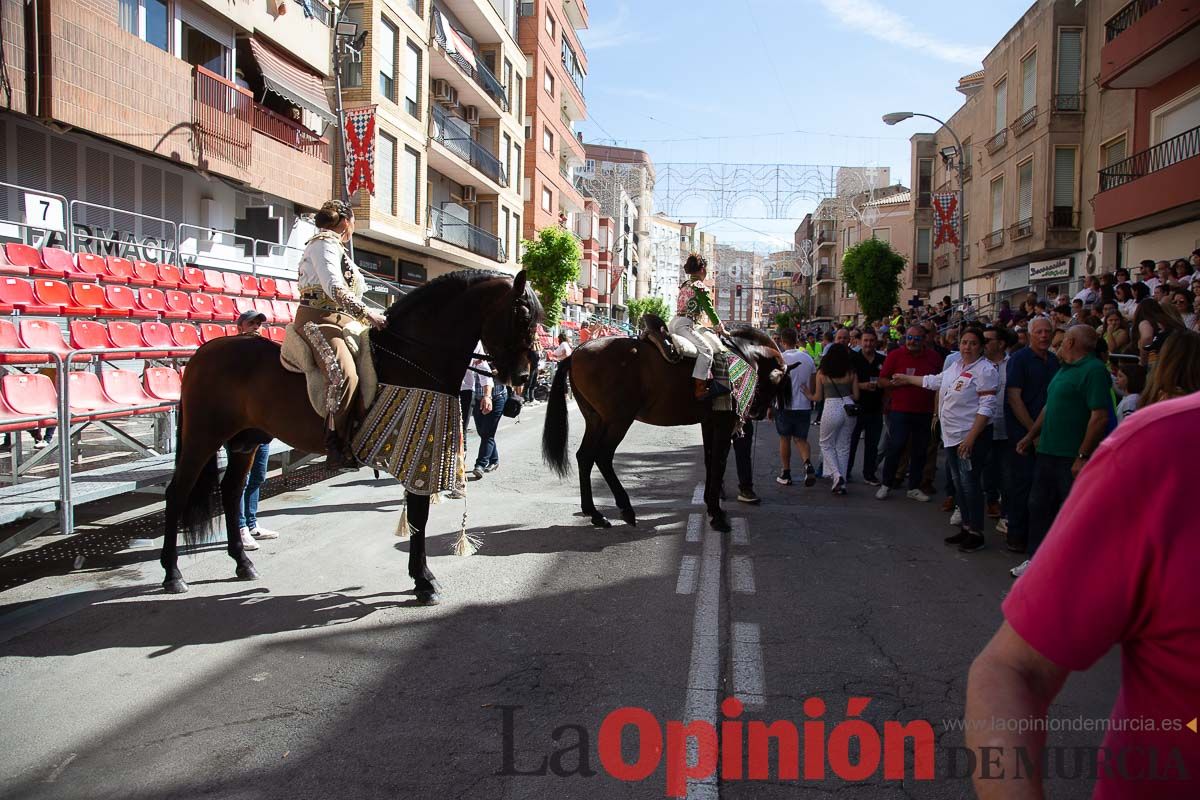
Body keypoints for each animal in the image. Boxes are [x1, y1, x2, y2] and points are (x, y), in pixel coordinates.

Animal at [159, 268, 540, 599]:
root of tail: (203, 352)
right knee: (178, 493)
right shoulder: (418, 454)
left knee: (231, 492)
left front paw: (420, 577)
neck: (410, 359)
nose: (522, 378)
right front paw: (424, 582)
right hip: (202, 437)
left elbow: (418, 515)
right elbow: (419, 516)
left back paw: (242, 563)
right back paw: (173, 574)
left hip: (246, 442)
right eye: (522, 317)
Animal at [542, 326, 787, 532]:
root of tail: (576, 352)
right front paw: (716, 514)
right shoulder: (723, 424)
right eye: (780, 381)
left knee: (585, 457)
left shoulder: (709, 423)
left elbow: (709, 460)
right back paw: (625, 509)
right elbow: (718, 463)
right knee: (602, 456)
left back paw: (594, 513)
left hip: (596, 421)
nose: (759, 413)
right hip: (618, 421)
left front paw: (710, 502)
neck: (742, 354)